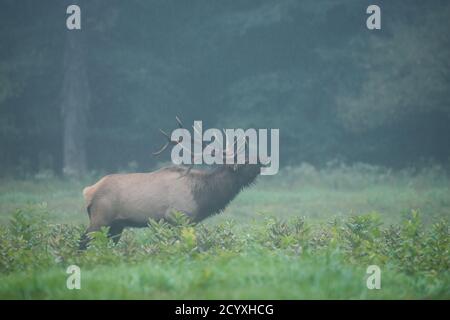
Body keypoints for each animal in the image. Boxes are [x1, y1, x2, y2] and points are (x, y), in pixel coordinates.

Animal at [77, 117, 260, 250]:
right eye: (244, 162)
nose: (261, 159)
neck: (202, 196)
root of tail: (88, 191)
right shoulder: (177, 217)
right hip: (100, 218)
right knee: (83, 242)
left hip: (116, 225)